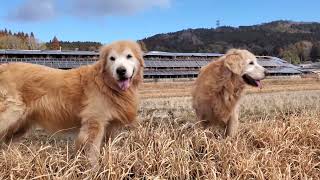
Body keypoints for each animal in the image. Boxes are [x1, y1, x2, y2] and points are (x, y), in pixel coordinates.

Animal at [0, 40, 145, 165]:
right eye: (112, 58)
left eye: (129, 56)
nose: (121, 71)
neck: (105, 84)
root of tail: (3, 67)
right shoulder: (94, 123)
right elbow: (92, 152)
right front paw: (93, 170)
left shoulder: (110, 128)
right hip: (11, 115)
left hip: (20, 125)